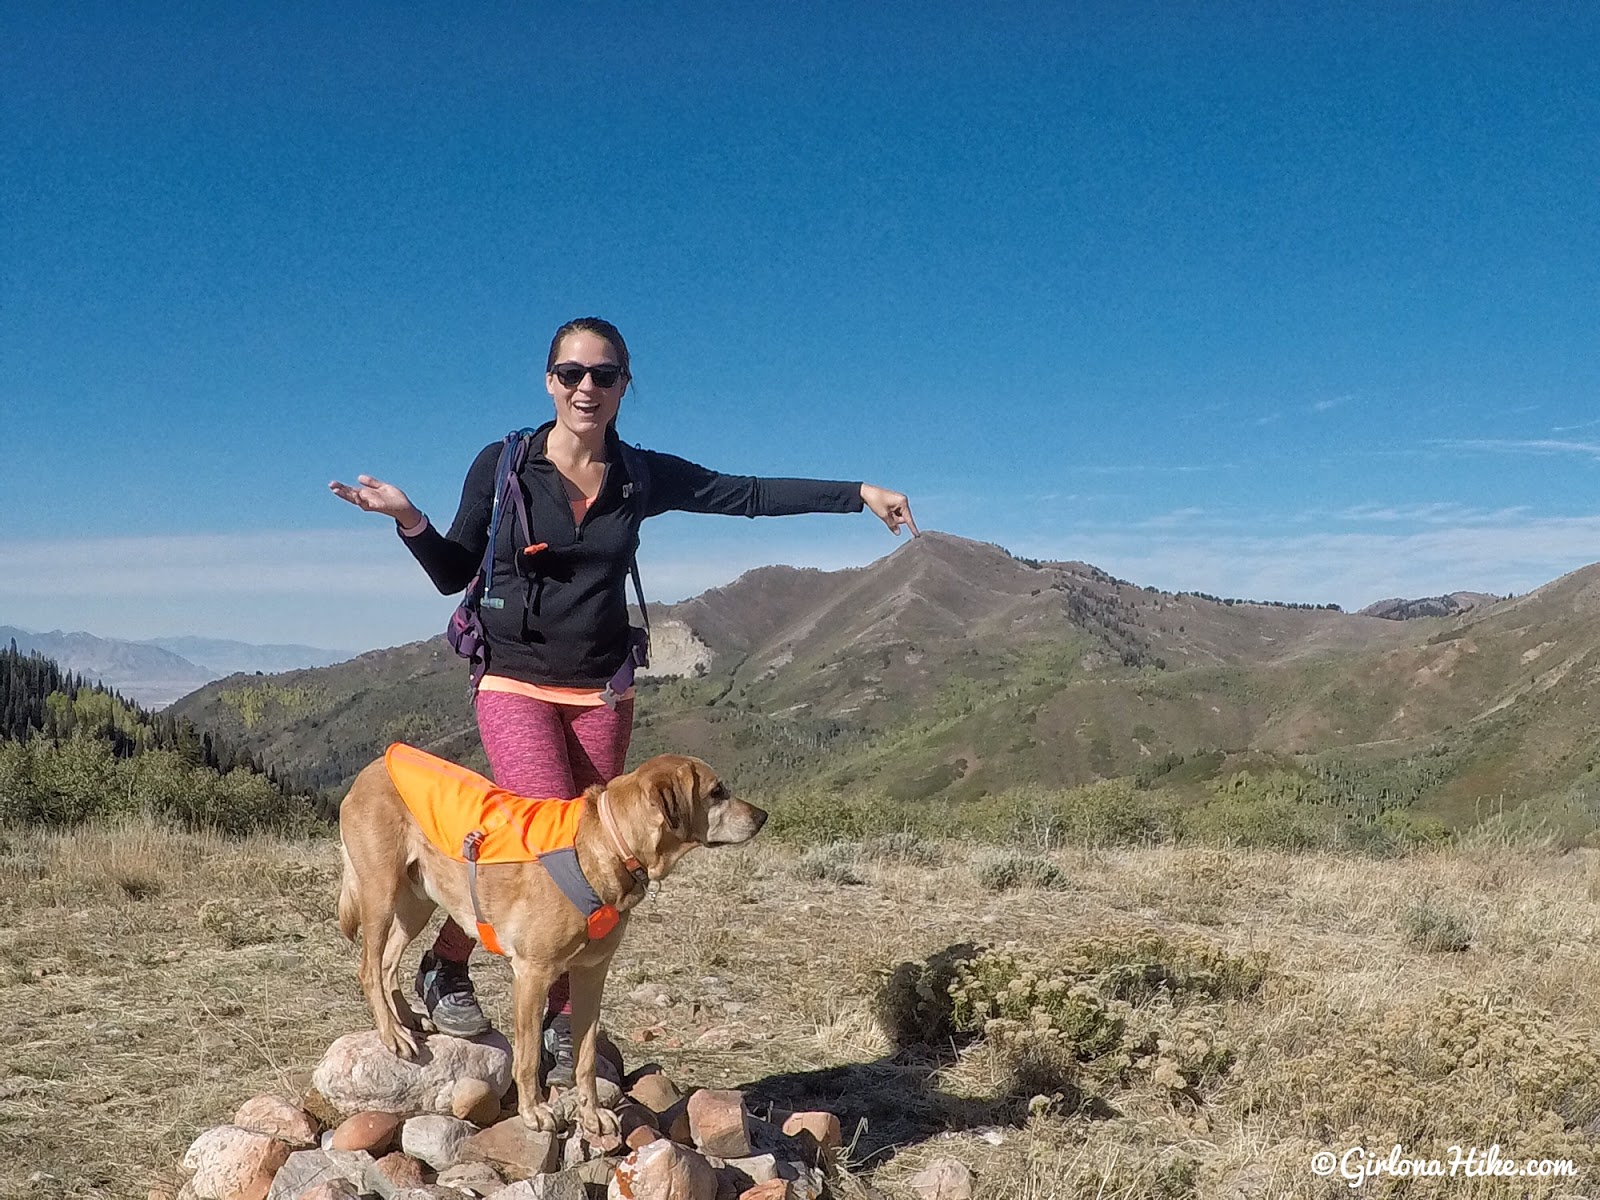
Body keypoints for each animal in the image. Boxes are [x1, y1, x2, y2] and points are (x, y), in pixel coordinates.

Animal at [334, 748, 764, 1139]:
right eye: (716, 791)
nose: (762, 817)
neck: (607, 845)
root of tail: (372, 767)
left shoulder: (591, 974)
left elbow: (586, 1057)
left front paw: (591, 1115)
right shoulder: (532, 974)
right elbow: (525, 1058)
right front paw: (533, 1112)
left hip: (417, 901)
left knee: (388, 962)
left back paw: (405, 1019)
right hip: (381, 892)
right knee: (368, 967)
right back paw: (392, 1033)